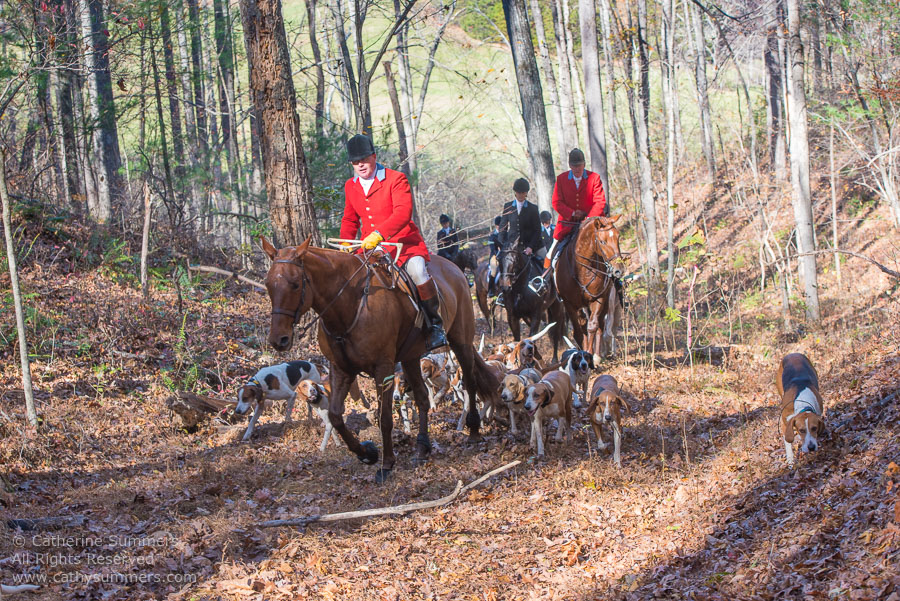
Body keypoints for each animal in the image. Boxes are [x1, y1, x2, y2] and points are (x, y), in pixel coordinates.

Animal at [260, 236, 500, 482]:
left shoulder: (383, 368)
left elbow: (384, 418)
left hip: (461, 341)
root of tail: (454, 268)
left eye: (295, 284)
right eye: (268, 285)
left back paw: (473, 430)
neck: (350, 304)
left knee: (469, 381)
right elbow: (336, 416)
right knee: (423, 398)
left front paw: (386, 464)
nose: (279, 339)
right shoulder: (340, 369)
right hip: (411, 357)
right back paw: (422, 448)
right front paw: (367, 453)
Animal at [552, 216, 624, 360]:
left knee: (600, 325)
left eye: (618, 238)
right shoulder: (569, 303)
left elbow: (593, 326)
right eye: (602, 241)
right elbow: (579, 332)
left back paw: (598, 355)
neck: (583, 269)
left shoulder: (598, 299)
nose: (619, 270)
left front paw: (592, 355)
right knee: (582, 325)